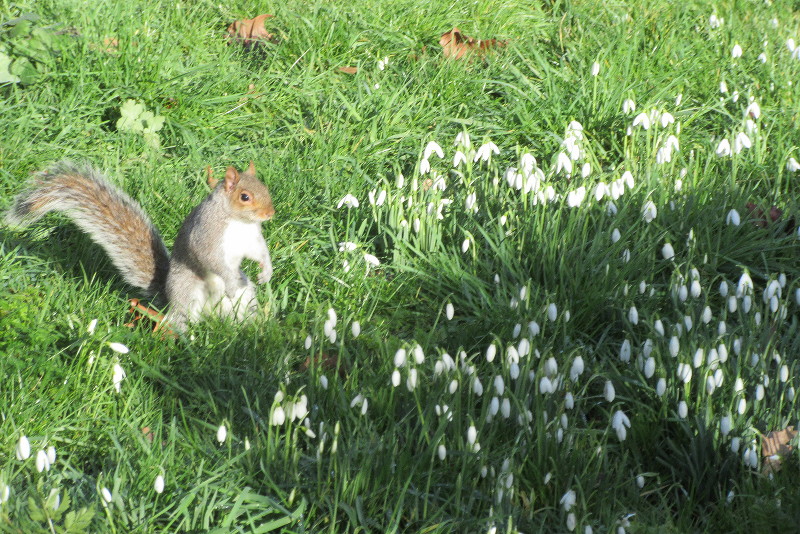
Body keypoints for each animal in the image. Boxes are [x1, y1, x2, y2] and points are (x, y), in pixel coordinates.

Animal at [4, 161, 276, 332]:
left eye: (266, 188)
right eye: (245, 197)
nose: (270, 214)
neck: (238, 221)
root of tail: (212, 312)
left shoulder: (251, 238)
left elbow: (258, 252)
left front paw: (266, 271)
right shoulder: (206, 233)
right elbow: (209, 258)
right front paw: (230, 279)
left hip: (244, 297)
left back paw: (252, 327)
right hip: (187, 292)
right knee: (181, 318)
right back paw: (185, 336)